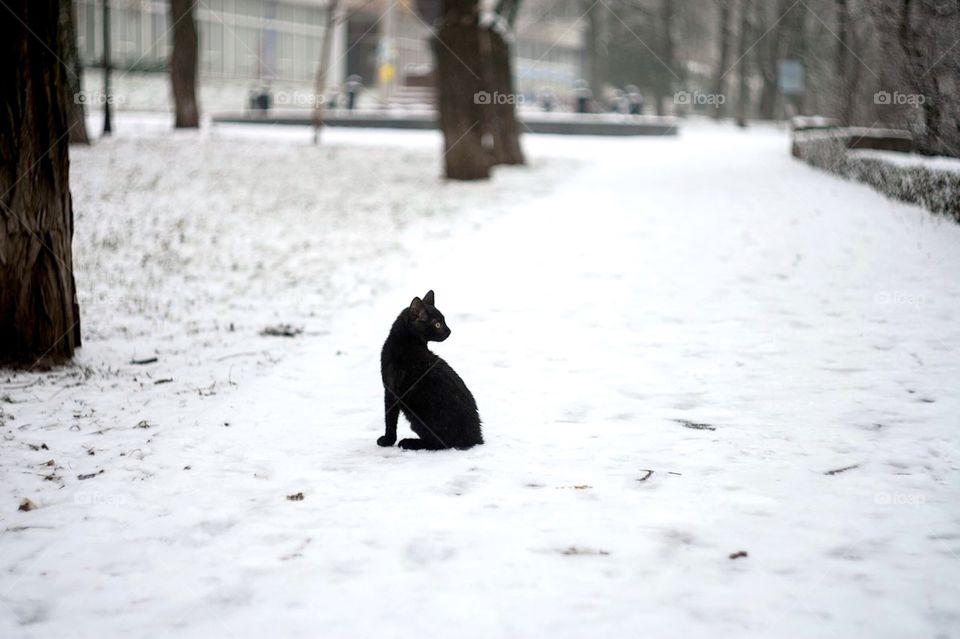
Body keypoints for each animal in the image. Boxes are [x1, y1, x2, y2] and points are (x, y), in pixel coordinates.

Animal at [378, 290, 484, 450]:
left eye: (443, 321)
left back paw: (410, 442)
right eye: (437, 324)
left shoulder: (391, 390)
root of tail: (476, 438)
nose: (449, 331)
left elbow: (390, 419)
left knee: (440, 443)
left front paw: (387, 441)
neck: (405, 342)